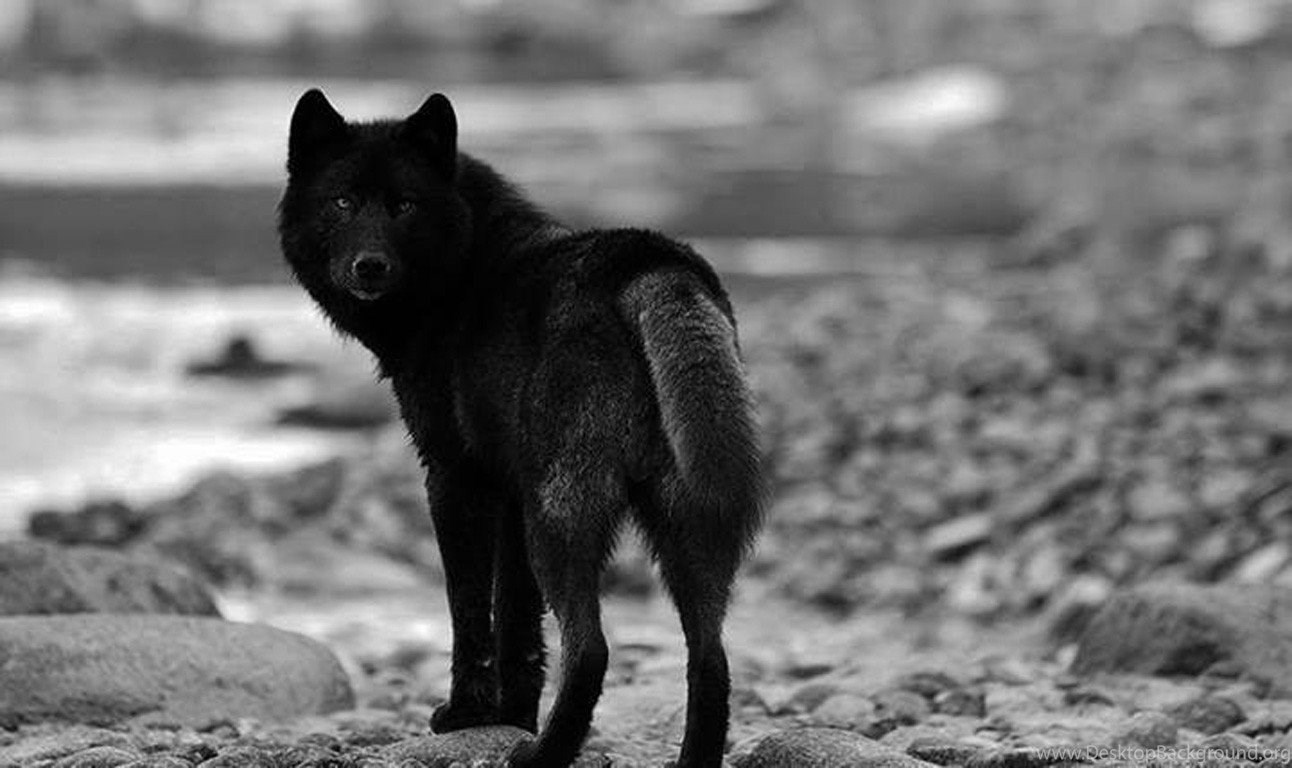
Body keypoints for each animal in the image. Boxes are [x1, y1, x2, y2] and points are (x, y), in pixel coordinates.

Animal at [280, 91, 764, 765]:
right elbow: (517, 624)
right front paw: (511, 716)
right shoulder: (512, 495)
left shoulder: (454, 479)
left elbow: (469, 612)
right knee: (710, 660)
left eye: (404, 205)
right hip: (680, 527)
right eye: (343, 202)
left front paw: (468, 715)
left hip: (561, 520)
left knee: (591, 649)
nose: (369, 266)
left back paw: (543, 755)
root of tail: (648, 263)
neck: (462, 273)